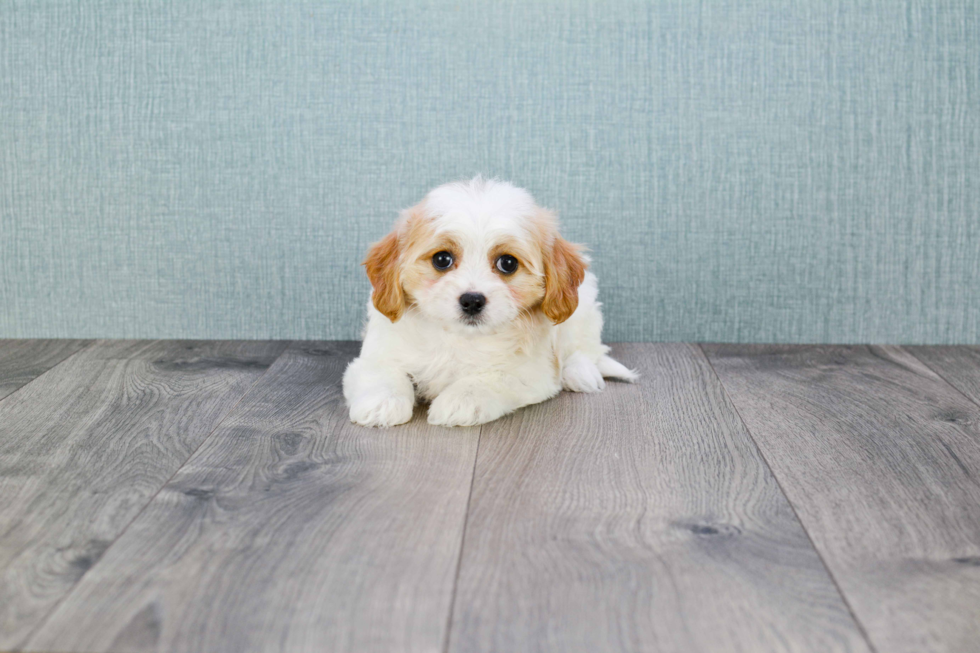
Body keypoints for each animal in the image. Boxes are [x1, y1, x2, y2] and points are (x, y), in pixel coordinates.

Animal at [342, 177, 636, 428]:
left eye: (508, 263)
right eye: (442, 259)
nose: (472, 301)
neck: (460, 338)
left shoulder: (532, 372)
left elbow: (492, 378)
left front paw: (459, 401)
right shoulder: (380, 351)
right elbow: (383, 372)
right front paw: (381, 403)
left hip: (584, 307)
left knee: (586, 348)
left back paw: (580, 373)